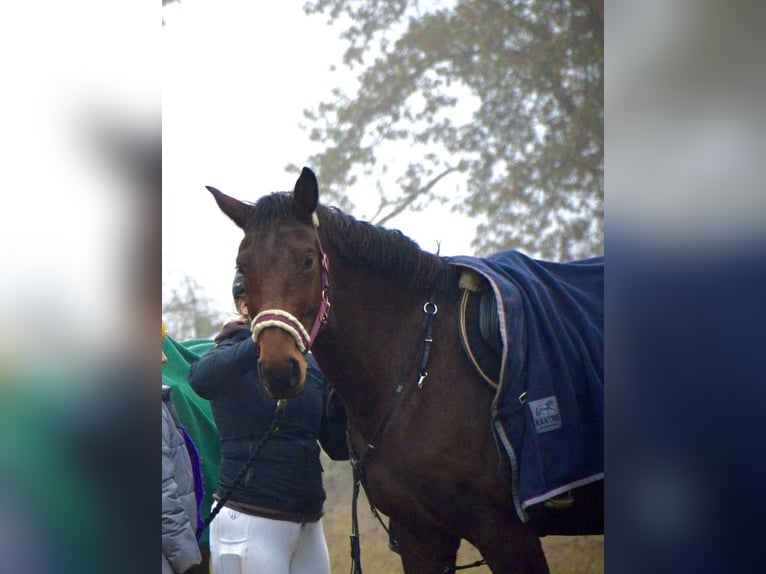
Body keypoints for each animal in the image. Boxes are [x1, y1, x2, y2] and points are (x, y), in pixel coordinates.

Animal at [206, 167, 604, 574]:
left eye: (307, 260)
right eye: (242, 269)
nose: (278, 371)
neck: (415, 376)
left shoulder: (505, 532)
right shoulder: (420, 536)